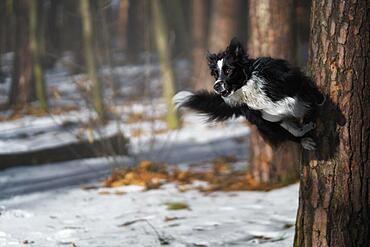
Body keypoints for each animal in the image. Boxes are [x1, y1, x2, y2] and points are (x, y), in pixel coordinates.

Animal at [173, 38, 324, 151]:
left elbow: (301, 94)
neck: (247, 86)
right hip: (265, 126)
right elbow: (283, 120)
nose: (216, 86)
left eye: (228, 71)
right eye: (215, 74)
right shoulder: (264, 118)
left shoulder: (291, 80)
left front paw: (319, 100)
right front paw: (302, 130)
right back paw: (304, 141)